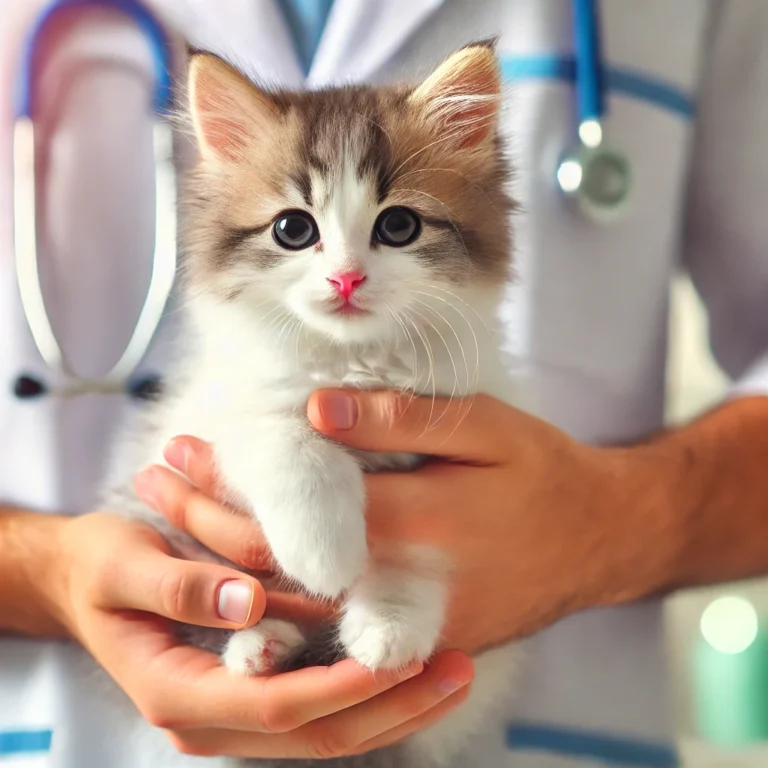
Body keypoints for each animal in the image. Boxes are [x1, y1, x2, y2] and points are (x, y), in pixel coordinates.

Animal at [105, 43, 520, 768]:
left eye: (399, 225)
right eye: (293, 229)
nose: (346, 278)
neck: (354, 366)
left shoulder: (453, 454)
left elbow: (417, 548)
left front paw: (389, 622)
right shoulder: (217, 418)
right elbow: (287, 443)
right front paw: (324, 552)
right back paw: (262, 645)